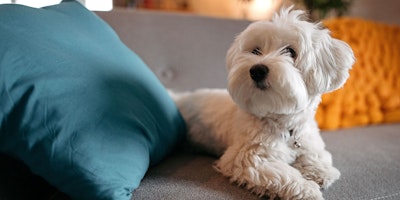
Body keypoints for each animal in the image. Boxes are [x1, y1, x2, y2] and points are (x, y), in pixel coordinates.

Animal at [172, 6, 354, 200]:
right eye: (255, 51)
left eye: (290, 52)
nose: (257, 70)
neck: (285, 126)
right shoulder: (247, 159)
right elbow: (284, 175)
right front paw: (306, 189)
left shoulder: (307, 140)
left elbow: (316, 156)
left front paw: (320, 171)